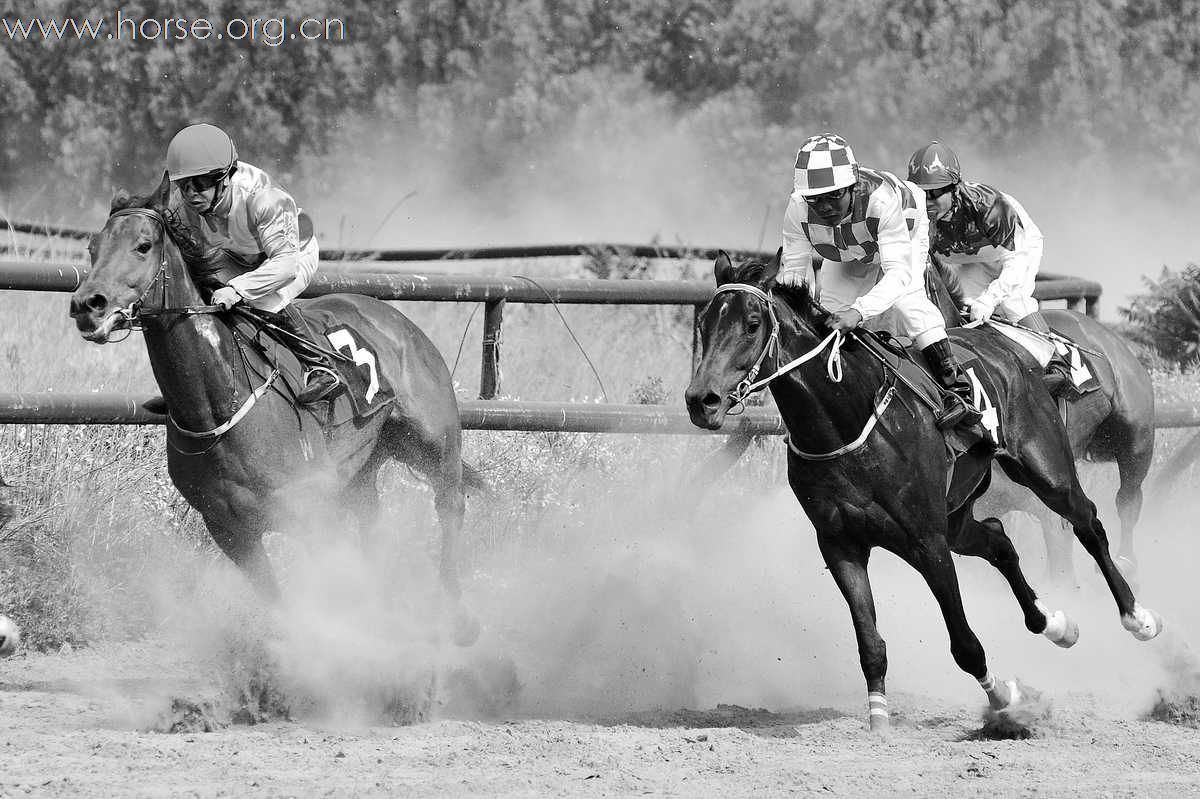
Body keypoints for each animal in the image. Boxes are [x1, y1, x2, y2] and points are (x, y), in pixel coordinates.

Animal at [70, 172, 477, 643]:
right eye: (93, 248)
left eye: (143, 245)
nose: (87, 305)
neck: (217, 404)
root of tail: (399, 321)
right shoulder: (231, 531)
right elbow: (283, 603)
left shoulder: (312, 514)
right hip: (362, 467)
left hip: (435, 442)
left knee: (450, 506)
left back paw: (456, 616)